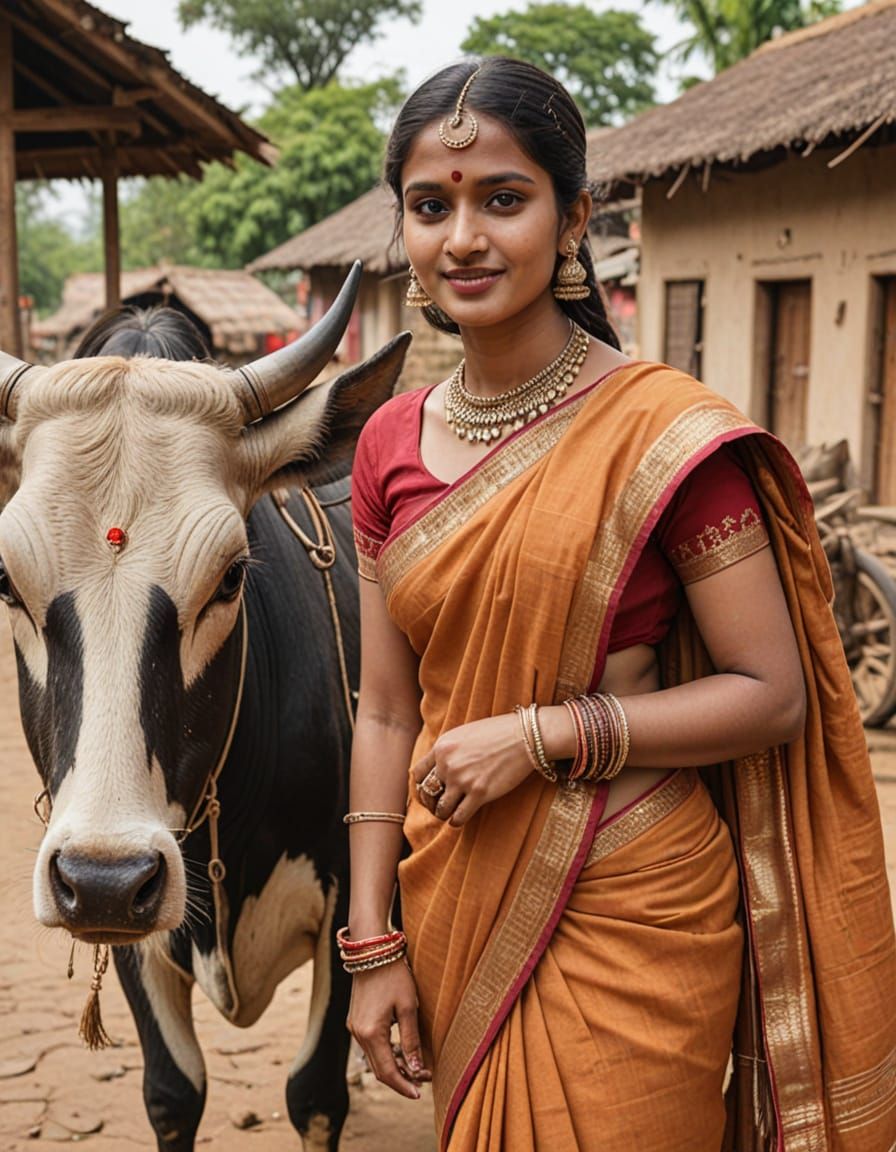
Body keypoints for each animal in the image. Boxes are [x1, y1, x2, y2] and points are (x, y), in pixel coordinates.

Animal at [0, 263, 409, 1152]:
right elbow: (173, 1091)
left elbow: (314, 1091)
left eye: (229, 577)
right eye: (6, 583)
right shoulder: (129, 933)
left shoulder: (346, 910)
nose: (105, 878)